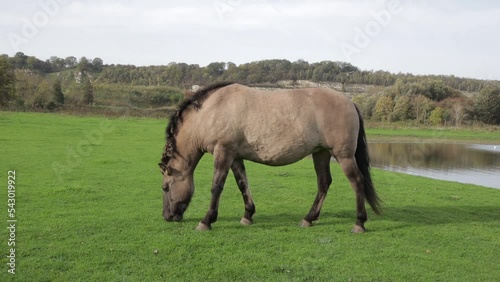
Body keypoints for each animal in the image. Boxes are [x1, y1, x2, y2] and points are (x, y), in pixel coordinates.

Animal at [158, 81, 380, 231]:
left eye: (165, 187)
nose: (167, 217)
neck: (211, 111)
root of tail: (350, 102)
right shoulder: (235, 156)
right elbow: (242, 184)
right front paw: (247, 215)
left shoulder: (224, 152)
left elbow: (216, 187)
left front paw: (206, 221)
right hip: (321, 153)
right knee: (324, 183)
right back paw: (308, 218)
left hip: (343, 155)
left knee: (357, 181)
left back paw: (359, 222)